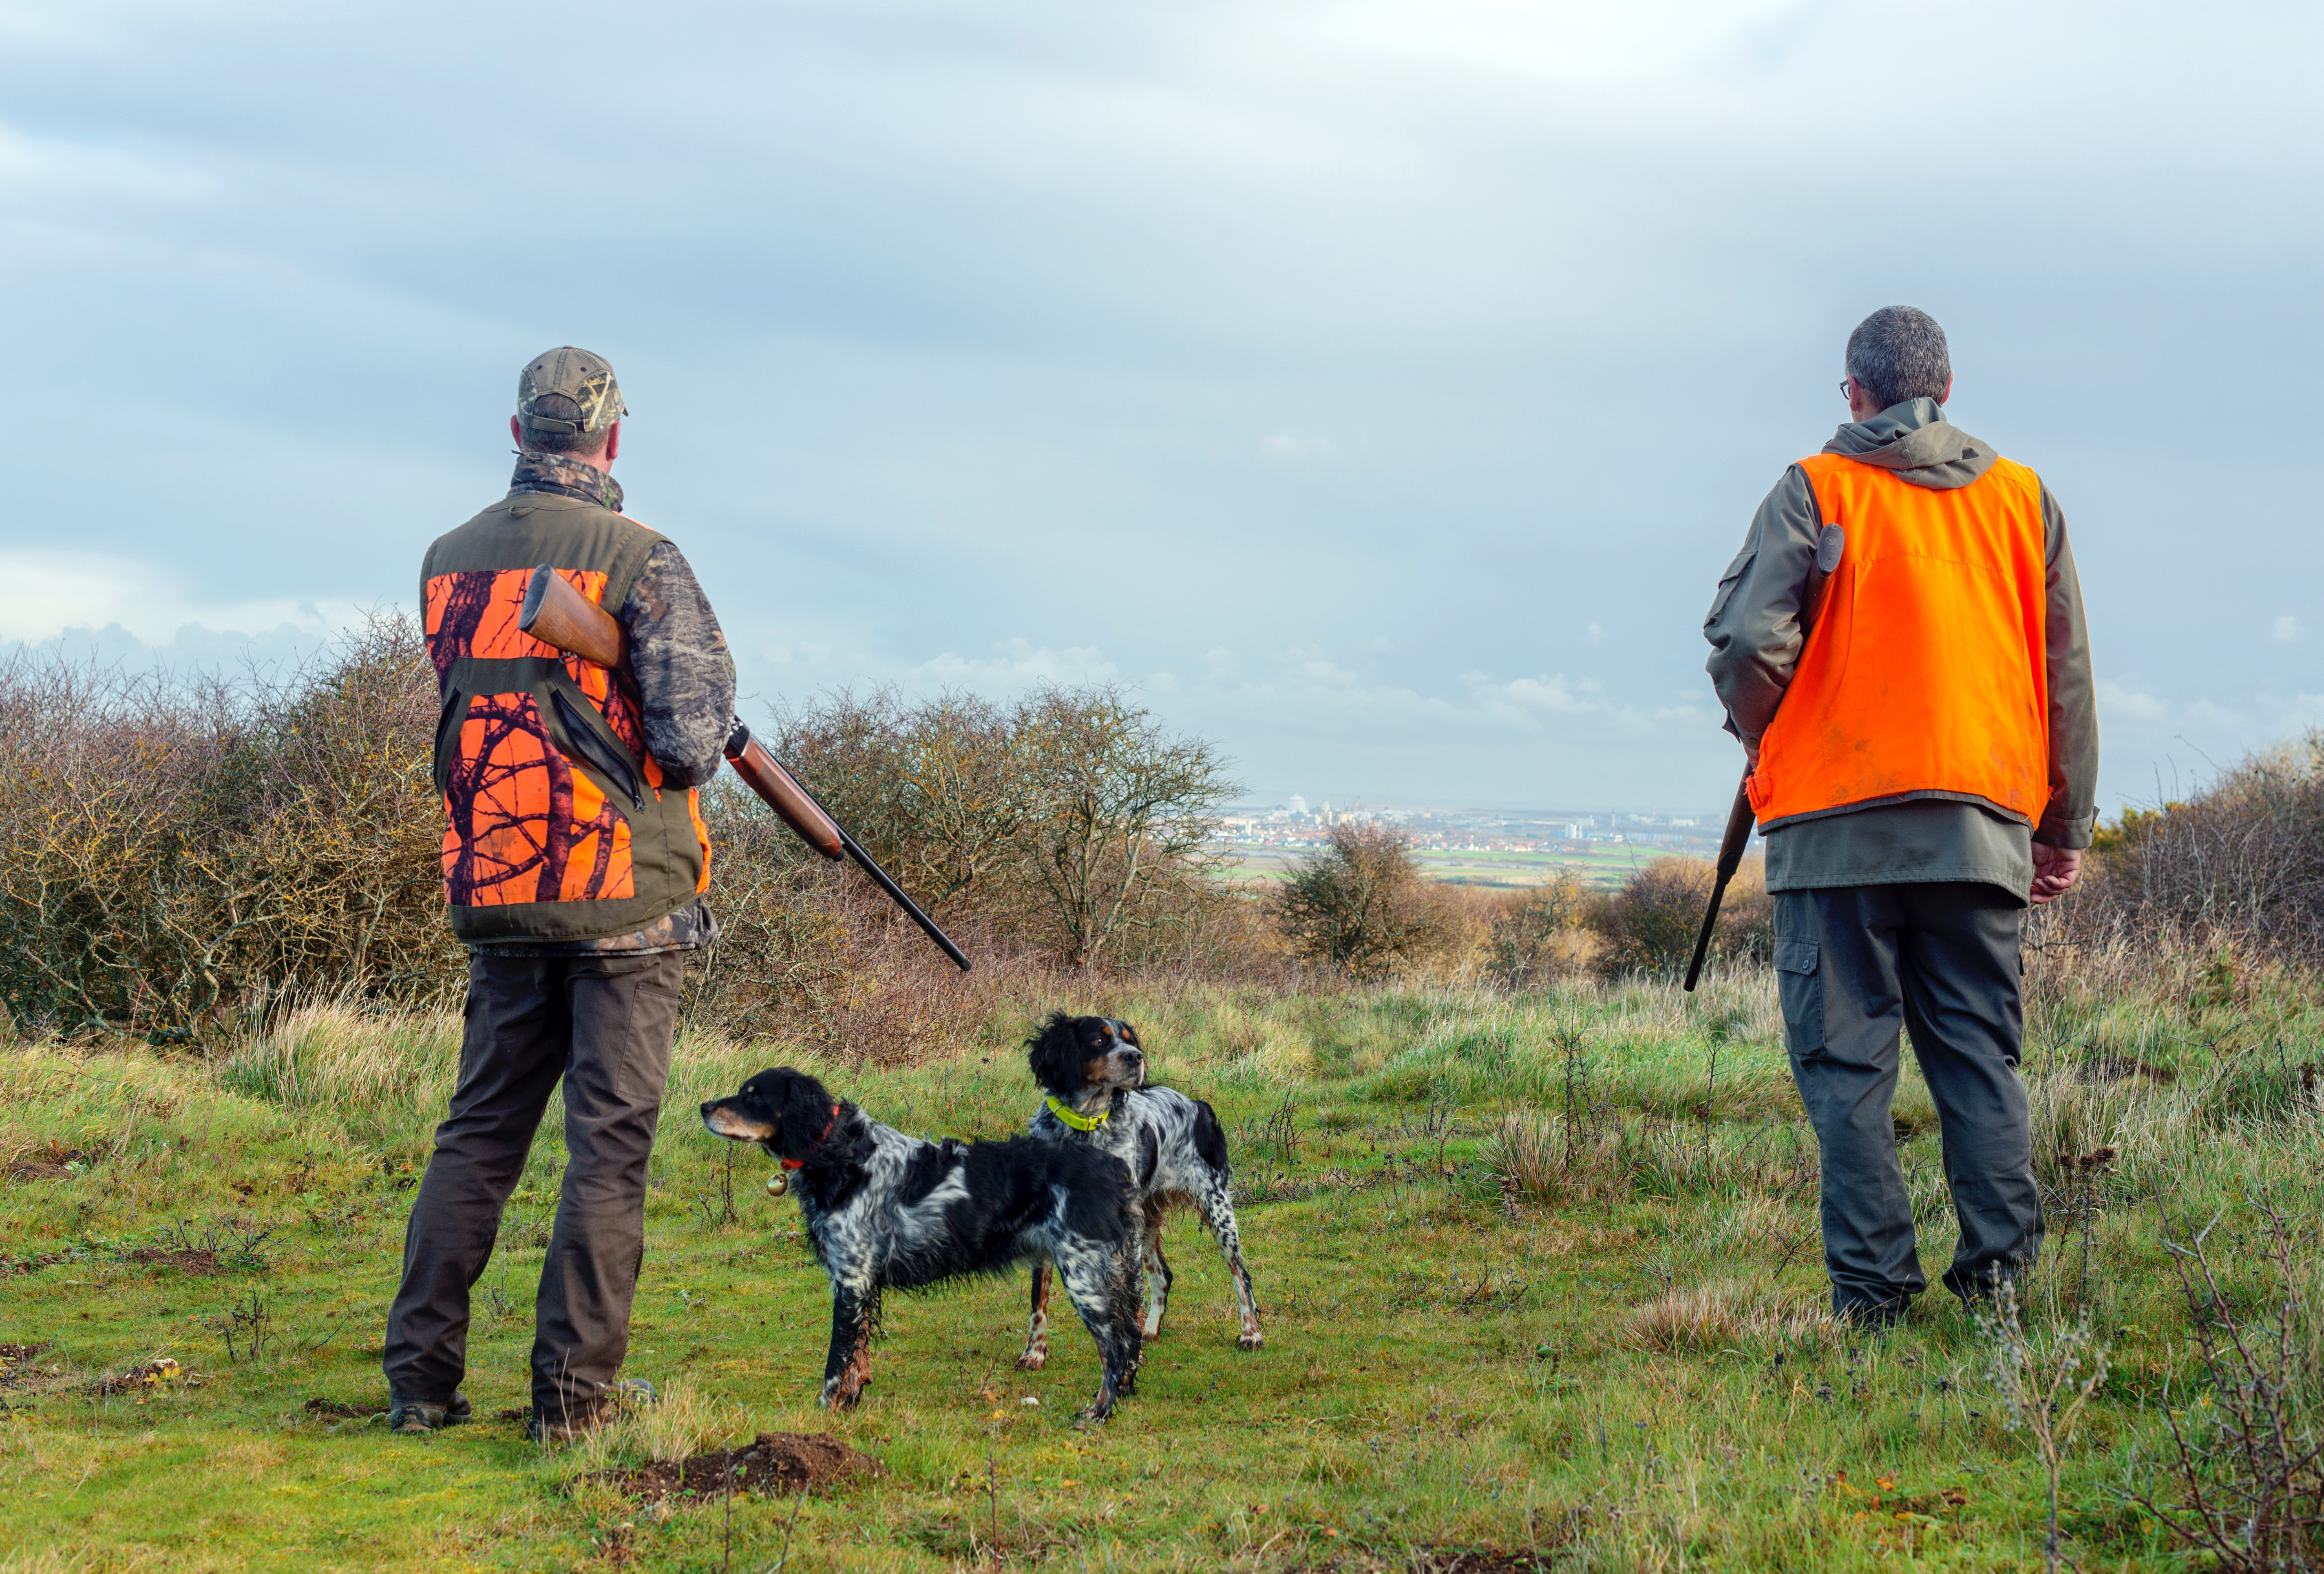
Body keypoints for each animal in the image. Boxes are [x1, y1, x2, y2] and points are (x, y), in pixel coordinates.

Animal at [702, 1069, 1148, 1413]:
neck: (840, 1153)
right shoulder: (860, 1283)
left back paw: (1097, 1413)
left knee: (1117, 1345)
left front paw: (826, 1410)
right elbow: (857, 1357)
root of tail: (1114, 1167)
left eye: (753, 1095)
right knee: (1130, 1337)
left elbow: (836, 1362)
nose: (704, 1107)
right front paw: (851, 1404)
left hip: (1084, 1275)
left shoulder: (851, 1280)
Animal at [1023, 1018, 1273, 1367]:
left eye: (1130, 1041)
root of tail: (1199, 1106)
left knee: (1241, 1275)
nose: (1135, 1057)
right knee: (1163, 1276)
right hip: (1149, 1219)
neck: (1086, 1126)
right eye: (1099, 1040)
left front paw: (1129, 1357)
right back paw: (1151, 1330)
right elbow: (1040, 1298)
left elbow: (1129, 1295)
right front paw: (1034, 1353)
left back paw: (1251, 1334)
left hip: (1218, 1211)